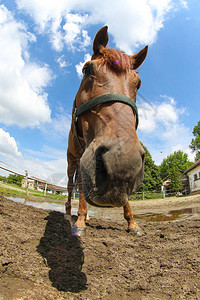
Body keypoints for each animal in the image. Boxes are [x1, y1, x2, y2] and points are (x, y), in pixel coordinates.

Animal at [65, 25, 147, 236]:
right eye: (87, 69)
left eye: (138, 83)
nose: (122, 161)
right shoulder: (84, 157)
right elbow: (80, 185)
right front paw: (80, 221)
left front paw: (132, 222)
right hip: (72, 160)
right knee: (70, 184)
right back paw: (70, 214)